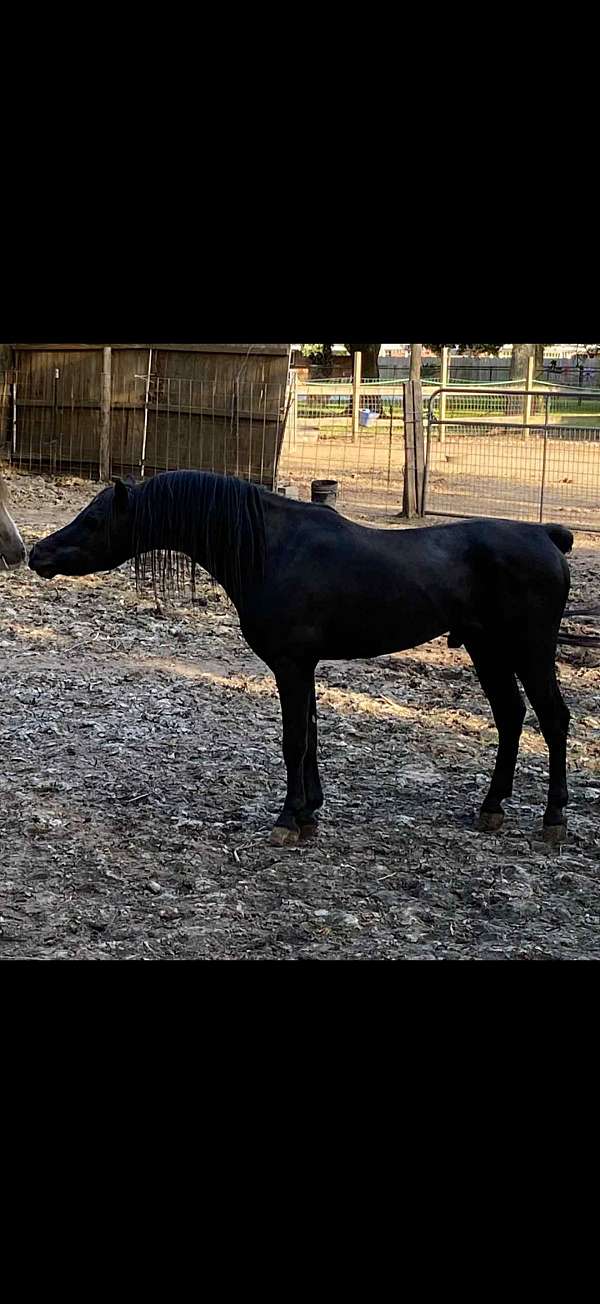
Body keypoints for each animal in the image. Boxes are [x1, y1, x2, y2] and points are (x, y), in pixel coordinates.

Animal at [29, 470, 576, 847]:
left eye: (94, 519)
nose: (38, 554)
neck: (271, 548)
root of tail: (546, 536)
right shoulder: (305, 666)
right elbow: (310, 737)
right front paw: (310, 812)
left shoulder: (292, 665)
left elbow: (294, 741)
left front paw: (288, 819)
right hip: (488, 651)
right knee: (510, 717)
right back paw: (492, 808)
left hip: (530, 650)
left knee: (552, 719)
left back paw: (553, 819)